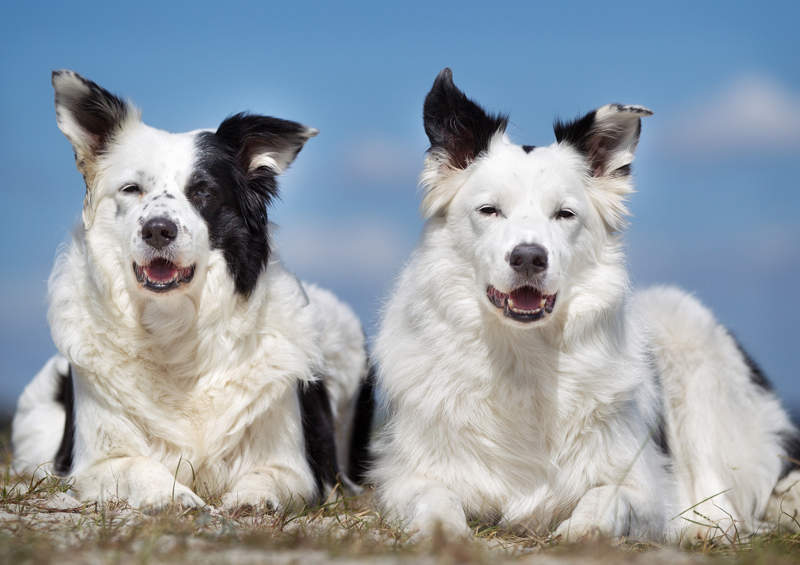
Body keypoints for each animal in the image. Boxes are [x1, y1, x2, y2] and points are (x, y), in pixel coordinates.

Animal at [11, 70, 376, 512]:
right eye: (131, 189)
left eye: (203, 191)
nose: (158, 230)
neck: (175, 328)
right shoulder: (98, 462)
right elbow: (136, 469)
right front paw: (175, 497)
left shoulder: (295, 467)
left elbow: (272, 480)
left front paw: (249, 500)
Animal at [372, 68, 800, 544]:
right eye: (489, 210)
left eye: (564, 214)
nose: (528, 257)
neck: (525, 355)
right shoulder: (408, 475)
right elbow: (434, 497)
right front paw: (442, 532)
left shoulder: (647, 486)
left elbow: (606, 494)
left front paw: (585, 528)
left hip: (689, 332)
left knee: (722, 504)